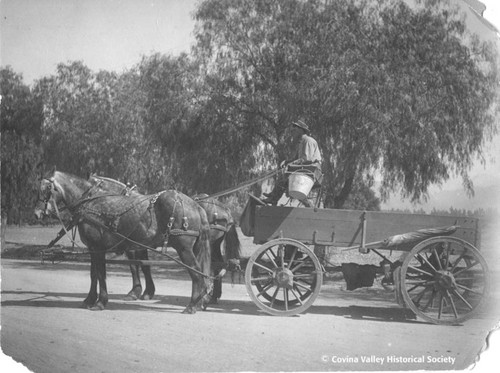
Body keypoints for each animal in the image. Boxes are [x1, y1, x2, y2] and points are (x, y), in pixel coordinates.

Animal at [34, 170, 211, 312]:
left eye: (46, 189)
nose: (37, 213)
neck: (91, 204)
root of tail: (195, 205)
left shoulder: (98, 248)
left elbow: (102, 274)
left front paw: (101, 302)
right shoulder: (93, 249)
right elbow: (94, 274)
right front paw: (89, 299)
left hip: (184, 249)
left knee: (196, 272)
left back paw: (192, 305)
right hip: (194, 248)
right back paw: (199, 301)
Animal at [89, 174, 242, 302]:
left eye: (91, 191)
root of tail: (225, 211)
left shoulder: (134, 246)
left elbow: (136, 265)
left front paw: (139, 292)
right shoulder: (138, 245)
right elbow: (143, 265)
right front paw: (145, 291)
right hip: (212, 245)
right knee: (218, 264)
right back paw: (214, 295)